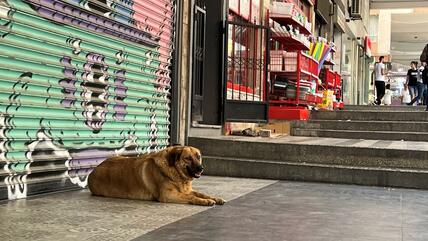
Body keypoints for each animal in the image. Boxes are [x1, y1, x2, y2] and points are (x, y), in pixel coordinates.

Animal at [88, 145, 227, 205]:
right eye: (188, 158)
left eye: (198, 157)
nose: (201, 168)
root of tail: (93, 170)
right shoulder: (168, 195)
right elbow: (192, 197)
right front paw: (205, 201)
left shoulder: (186, 190)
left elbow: (202, 193)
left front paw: (215, 198)